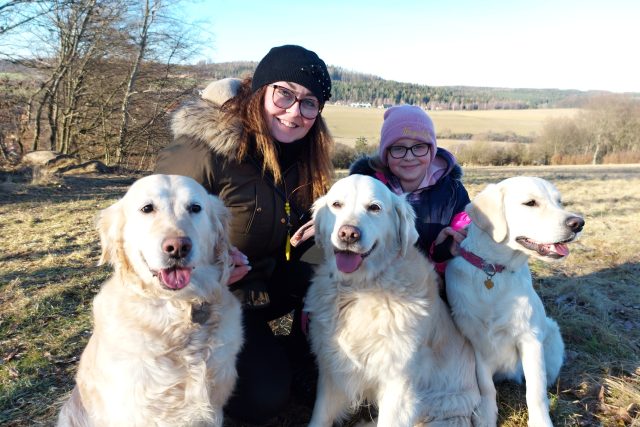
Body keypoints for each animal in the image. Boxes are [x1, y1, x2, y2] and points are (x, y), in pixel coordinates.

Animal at [304, 176, 496, 427]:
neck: (359, 288)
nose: (348, 234)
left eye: (374, 208)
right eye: (336, 205)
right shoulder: (332, 369)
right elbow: (320, 415)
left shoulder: (399, 382)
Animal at [444, 176, 584, 426]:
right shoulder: (476, 341)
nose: (578, 223)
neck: (493, 270)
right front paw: (486, 416)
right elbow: (486, 387)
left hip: (551, 333)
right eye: (530, 203)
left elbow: (535, 391)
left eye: (559, 202)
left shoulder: (530, 339)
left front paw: (541, 421)